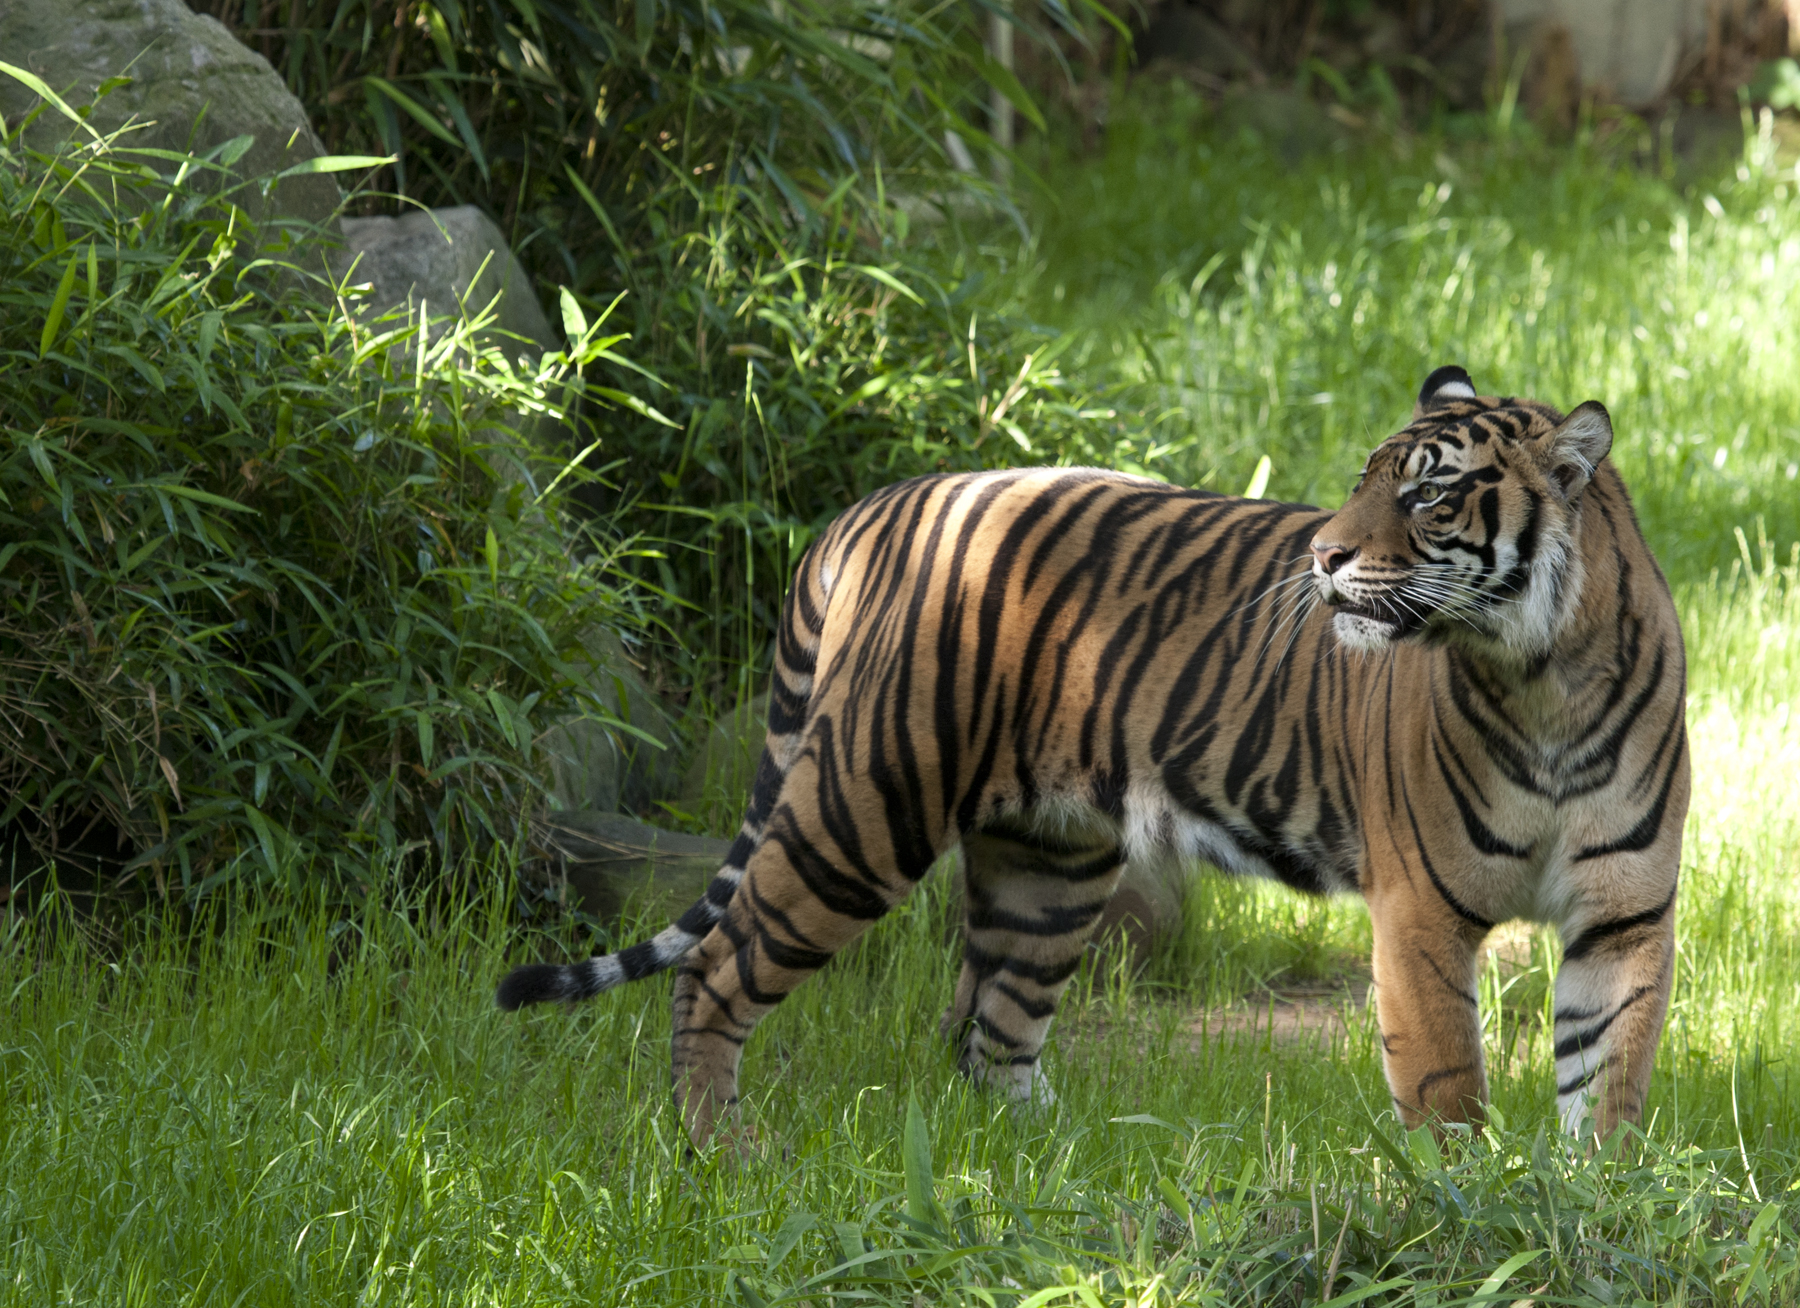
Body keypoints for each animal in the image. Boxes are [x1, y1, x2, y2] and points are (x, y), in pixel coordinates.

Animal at [496, 365, 1684, 1144]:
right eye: (1364, 481)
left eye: (1429, 492)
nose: (1322, 555)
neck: (1545, 679)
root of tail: (876, 504)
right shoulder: (1423, 911)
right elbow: (1447, 1090)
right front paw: (1461, 1206)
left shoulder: (1623, 917)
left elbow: (1612, 1084)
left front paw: (1586, 1214)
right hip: (865, 806)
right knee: (714, 968)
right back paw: (721, 1150)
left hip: (1049, 861)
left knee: (993, 1033)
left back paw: (1050, 1174)